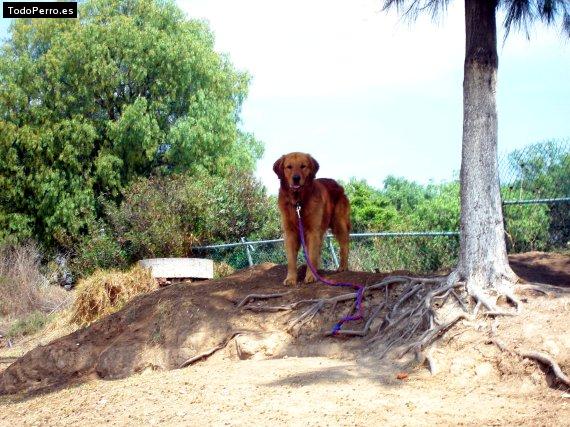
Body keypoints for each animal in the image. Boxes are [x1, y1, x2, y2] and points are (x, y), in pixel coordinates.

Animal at [272, 152, 348, 286]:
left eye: (303, 166)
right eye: (289, 167)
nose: (296, 178)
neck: (298, 202)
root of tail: (337, 184)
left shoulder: (313, 231)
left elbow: (311, 256)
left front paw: (311, 276)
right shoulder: (290, 233)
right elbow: (291, 259)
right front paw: (291, 278)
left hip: (339, 224)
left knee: (345, 246)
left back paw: (343, 266)